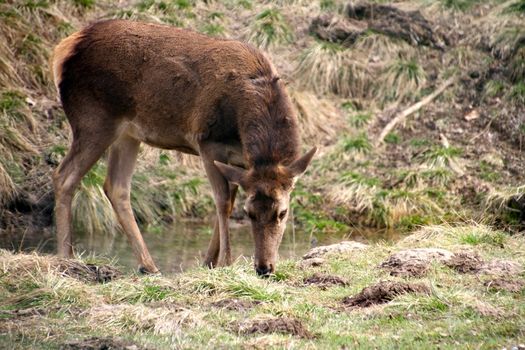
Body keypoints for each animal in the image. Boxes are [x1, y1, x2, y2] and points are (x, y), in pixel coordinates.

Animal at [50, 19, 316, 276]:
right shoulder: (207, 142)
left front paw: (209, 262)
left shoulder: (240, 162)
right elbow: (223, 202)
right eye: (249, 212)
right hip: (93, 119)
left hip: (127, 133)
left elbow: (228, 200)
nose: (264, 268)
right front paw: (225, 262)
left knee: (116, 186)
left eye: (282, 212)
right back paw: (66, 255)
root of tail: (63, 49)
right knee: (64, 175)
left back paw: (148, 265)